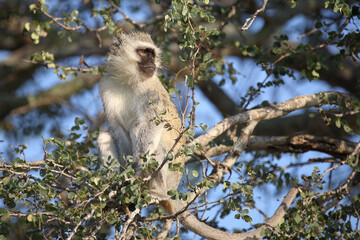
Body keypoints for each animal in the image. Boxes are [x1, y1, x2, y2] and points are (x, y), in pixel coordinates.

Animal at [97, 32, 296, 240]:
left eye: (152, 54)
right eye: (143, 52)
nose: (151, 62)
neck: (128, 81)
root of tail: (171, 190)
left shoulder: (151, 91)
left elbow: (152, 124)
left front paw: (135, 171)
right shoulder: (106, 86)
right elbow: (117, 131)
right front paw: (123, 179)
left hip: (167, 176)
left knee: (147, 138)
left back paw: (153, 190)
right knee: (104, 135)